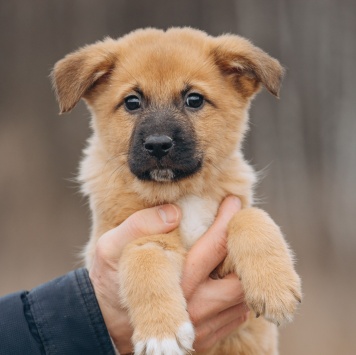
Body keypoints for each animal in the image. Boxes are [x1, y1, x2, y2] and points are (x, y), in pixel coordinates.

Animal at [51, 28, 302, 355]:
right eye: (132, 102)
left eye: (194, 99)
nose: (158, 144)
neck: (181, 193)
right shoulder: (131, 238)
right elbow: (144, 259)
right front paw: (161, 333)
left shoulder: (227, 232)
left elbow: (251, 218)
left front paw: (275, 287)